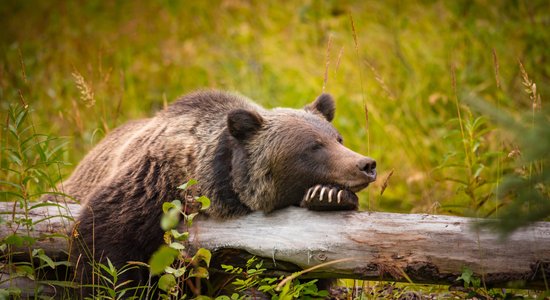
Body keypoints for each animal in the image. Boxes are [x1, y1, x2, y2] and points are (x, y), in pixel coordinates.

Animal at [61, 90, 380, 296]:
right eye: (314, 146)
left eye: (337, 138)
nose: (366, 164)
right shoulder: (153, 185)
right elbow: (104, 240)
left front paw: (328, 196)